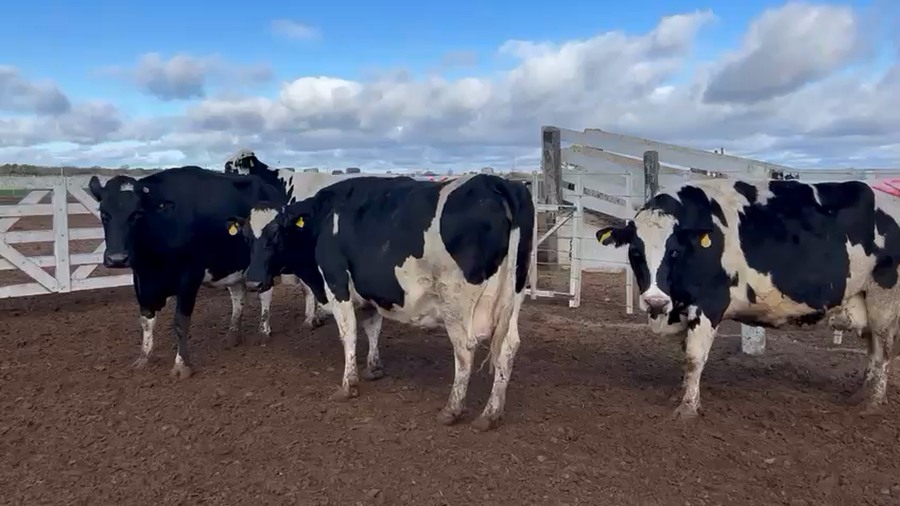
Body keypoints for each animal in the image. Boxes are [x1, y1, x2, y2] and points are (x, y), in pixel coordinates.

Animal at [88, 166, 287, 379]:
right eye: (104, 214)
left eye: (136, 214)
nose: (117, 258)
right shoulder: (141, 279)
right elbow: (146, 319)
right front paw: (144, 357)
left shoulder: (189, 277)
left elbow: (181, 321)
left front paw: (181, 365)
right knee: (238, 296)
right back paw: (232, 335)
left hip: (263, 265)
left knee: (265, 293)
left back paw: (263, 332)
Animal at [230, 174, 535, 431]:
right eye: (246, 237)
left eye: (276, 235)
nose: (253, 282)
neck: (322, 220)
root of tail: (496, 182)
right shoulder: (370, 293)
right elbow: (372, 327)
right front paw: (373, 368)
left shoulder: (337, 285)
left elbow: (349, 334)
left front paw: (348, 385)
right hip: (513, 299)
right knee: (508, 347)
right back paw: (491, 413)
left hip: (456, 303)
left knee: (464, 351)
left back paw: (452, 409)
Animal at [596, 178, 900, 420]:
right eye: (635, 252)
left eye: (673, 251)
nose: (655, 301)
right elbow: (686, 355)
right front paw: (682, 394)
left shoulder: (709, 304)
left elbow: (694, 356)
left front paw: (687, 408)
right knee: (872, 351)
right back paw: (862, 395)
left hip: (884, 299)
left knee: (883, 351)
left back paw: (873, 402)